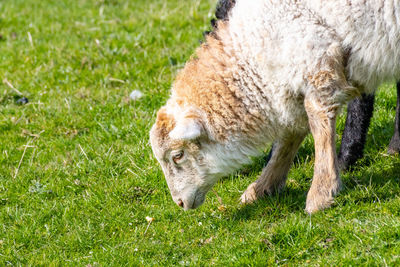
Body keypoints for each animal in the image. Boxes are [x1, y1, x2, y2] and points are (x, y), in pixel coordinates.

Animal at [149, 0, 400, 214]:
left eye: (178, 156)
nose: (180, 203)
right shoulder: (290, 83)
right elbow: (289, 136)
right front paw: (262, 187)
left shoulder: (316, 60)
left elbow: (318, 122)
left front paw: (321, 192)